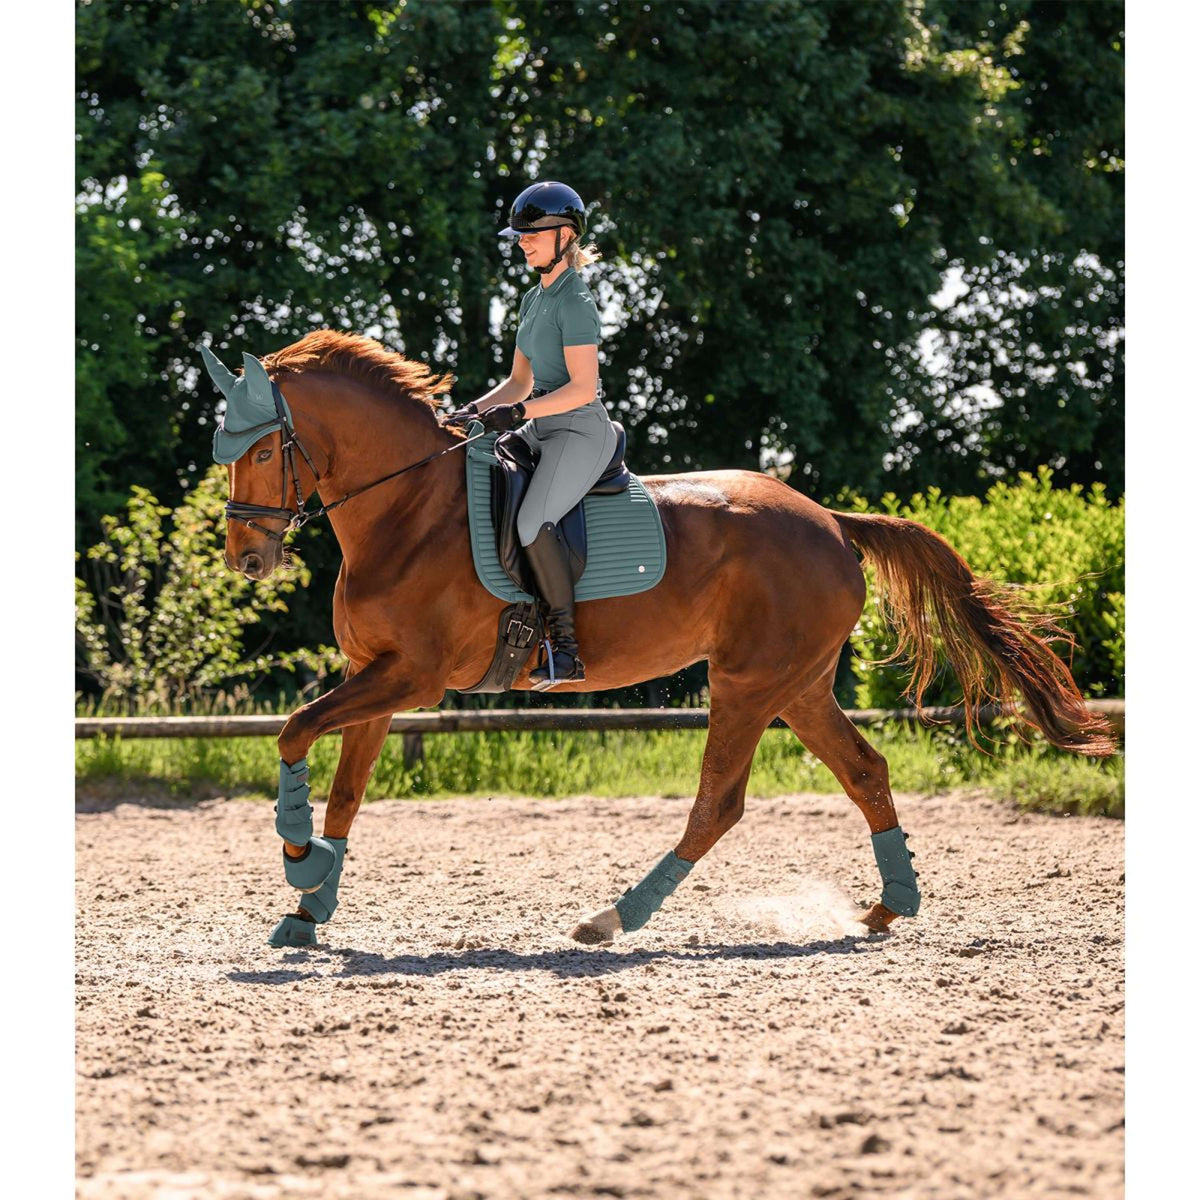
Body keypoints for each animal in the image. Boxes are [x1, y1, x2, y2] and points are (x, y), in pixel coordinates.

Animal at [203, 330, 1114, 949]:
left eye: (262, 448)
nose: (247, 557)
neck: (408, 512)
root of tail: (827, 519)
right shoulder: (376, 676)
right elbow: (348, 789)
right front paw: (311, 905)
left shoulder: (413, 677)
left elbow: (294, 732)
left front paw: (299, 858)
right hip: (797, 686)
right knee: (864, 771)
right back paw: (892, 904)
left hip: (747, 684)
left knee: (719, 802)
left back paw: (614, 917)